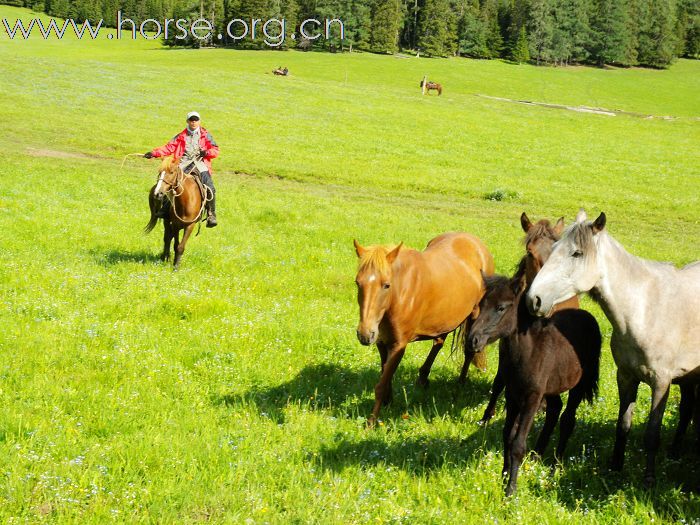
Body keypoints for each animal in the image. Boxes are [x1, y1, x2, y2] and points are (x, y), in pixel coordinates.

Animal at [352, 233, 494, 426]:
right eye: (357, 283)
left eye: (386, 285)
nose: (365, 334)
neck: (400, 293)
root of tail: (477, 243)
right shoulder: (382, 342)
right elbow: (385, 376)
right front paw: (388, 402)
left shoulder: (398, 345)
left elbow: (381, 384)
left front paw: (371, 422)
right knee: (439, 342)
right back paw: (423, 377)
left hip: (474, 315)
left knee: (468, 351)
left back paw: (460, 384)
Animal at [468, 266, 600, 496]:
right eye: (481, 304)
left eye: (501, 308)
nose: (473, 341)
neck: (528, 351)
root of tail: (588, 317)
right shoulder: (512, 394)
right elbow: (507, 435)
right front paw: (504, 476)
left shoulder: (532, 398)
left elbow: (518, 443)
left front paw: (510, 490)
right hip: (553, 386)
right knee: (554, 409)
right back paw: (536, 455)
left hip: (578, 385)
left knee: (567, 420)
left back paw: (555, 467)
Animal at [524, 208, 700, 484]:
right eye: (552, 249)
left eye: (577, 253)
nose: (534, 299)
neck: (644, 309)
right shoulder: (626, 377)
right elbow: (623, 425)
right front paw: (616, 467)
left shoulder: (661, 382)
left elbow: (652, 433)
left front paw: (649, 480)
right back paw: (674, 452)